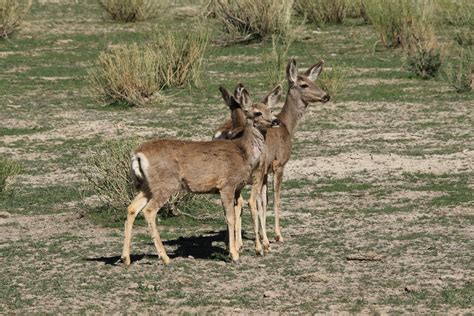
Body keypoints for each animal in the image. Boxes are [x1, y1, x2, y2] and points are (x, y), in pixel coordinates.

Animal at [120, 85, 280, 266]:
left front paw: (237, 249)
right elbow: (230, 218)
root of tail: (138, 155)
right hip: (165, 185)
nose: (276, 121)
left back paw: (126, 258)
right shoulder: (227, 185)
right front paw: (234, 254)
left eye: (271, 109)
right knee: (149, 211)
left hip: (147, 186)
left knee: (132, 208)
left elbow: (235, 213)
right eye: (257, 113)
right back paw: (165, 257)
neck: (243, 153)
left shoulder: (237, 188)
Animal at [214, 57, 330, 254]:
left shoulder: (265, 170)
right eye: (304, 84)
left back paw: (237, 244)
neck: (287, 127)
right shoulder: (279, 164)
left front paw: (262, 238)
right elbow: (275, 199)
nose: (326, 96)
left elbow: (263, 201)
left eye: (314, 81)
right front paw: (276, 236)